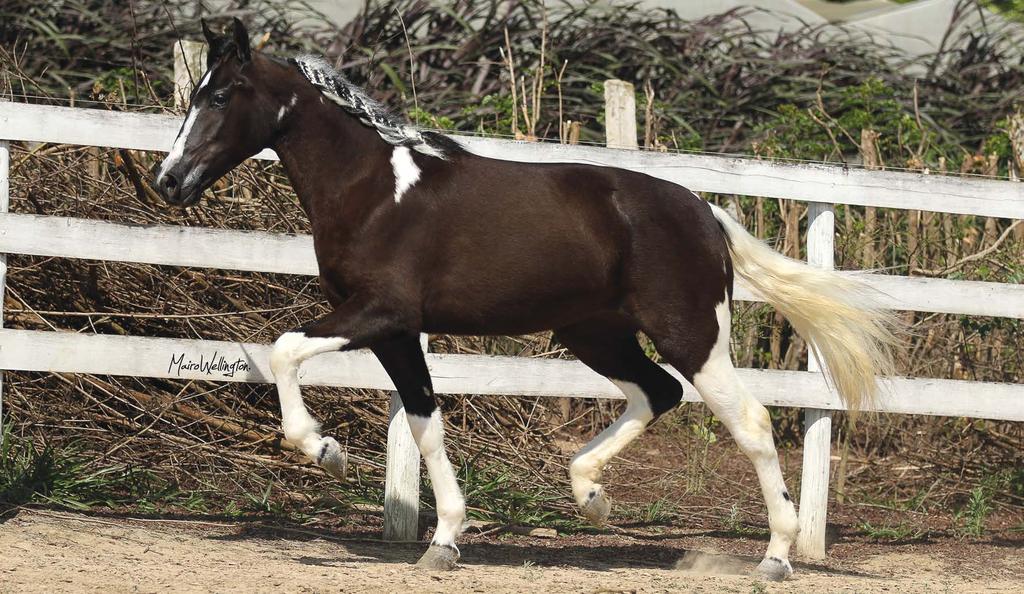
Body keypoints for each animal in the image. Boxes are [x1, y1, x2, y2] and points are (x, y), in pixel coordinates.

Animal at [153, 19, 897, 581]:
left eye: (221, 96)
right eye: (196, 93)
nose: (168, 181)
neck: (374, 193)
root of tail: (705, 212)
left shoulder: (381, 314)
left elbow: (283, 350)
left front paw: (325, 449)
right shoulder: (397, 333)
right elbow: (424, 421)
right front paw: (444, 542)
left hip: (690, 333)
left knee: (749, 421)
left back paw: (775, 557)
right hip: (593, 333)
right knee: (657, 392)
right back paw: (590, 495)